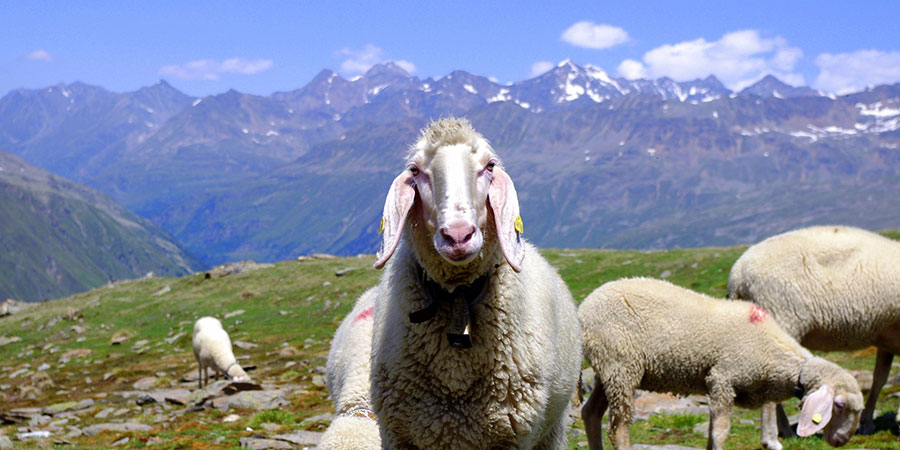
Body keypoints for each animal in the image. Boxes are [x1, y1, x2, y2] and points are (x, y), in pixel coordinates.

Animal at [368, 118, 584, 448]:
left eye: (489, 165)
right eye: (415, 170)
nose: (458, 235)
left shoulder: (513, 437)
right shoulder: (397, 435)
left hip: (551, 431)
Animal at [580, 278, 860, 450]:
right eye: (839, 405)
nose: (842, 440)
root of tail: (585, 307)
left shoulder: (714, 386)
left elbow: (712, 429)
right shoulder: (723, 379)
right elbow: (721, 431)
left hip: (607, 370)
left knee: (590, 413)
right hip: (620, 365)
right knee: (618, 427)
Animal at [728, 225, 900, 436]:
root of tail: (737, 274)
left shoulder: (887, 340)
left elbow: (879, 380)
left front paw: (867, 422)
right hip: (781, 320)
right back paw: (785, 429)